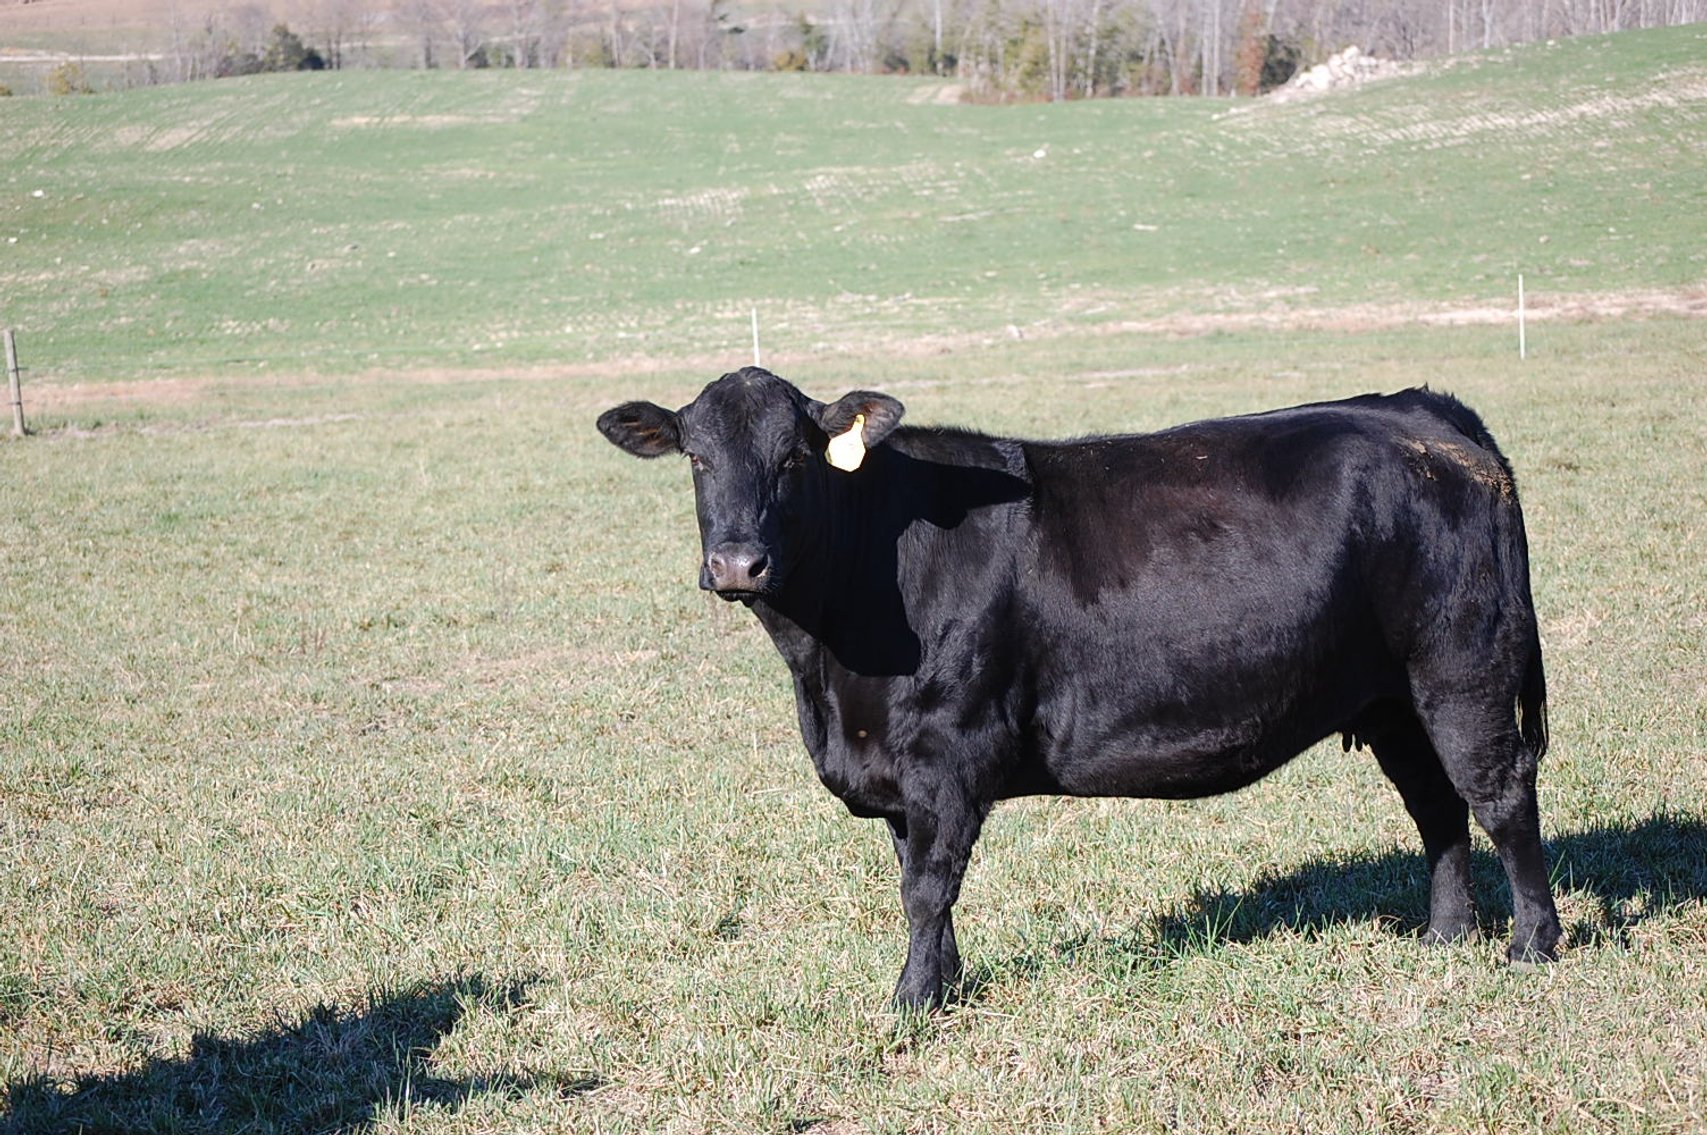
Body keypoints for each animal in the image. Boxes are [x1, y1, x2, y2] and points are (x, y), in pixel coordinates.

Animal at [597, 367, 1561, 1010]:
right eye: (695, 459)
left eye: (794, 457)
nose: (736, 563)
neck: (826, 676)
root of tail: (1418, 410)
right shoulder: (896, 773)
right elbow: (919, 880)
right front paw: (944, 983)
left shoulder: (947, 751)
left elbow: (926, 885)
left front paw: (910, 1002)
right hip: (1390, 697)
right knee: (1436, 803)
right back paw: (1445, 934)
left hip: (1461, 670)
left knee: (1499, 792)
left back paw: (1531, 943)